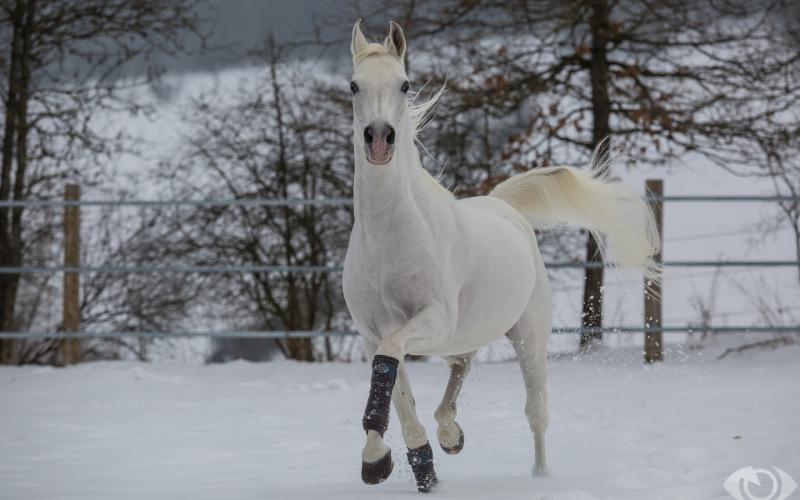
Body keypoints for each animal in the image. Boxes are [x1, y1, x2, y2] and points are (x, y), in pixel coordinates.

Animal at [340, 20, 660, 492]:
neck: (390, 236)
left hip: (528, 337)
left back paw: (540, 475)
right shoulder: (370, 331)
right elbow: (397, 390)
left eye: (405, 84)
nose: (379, 140)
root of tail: (504, 207)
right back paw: (450, 435)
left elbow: (391, 357)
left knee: (536, 411)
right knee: (461, 367)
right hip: (466, 335)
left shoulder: (432, 320)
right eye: (353, 85)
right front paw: (394, 464)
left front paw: (385, 462)